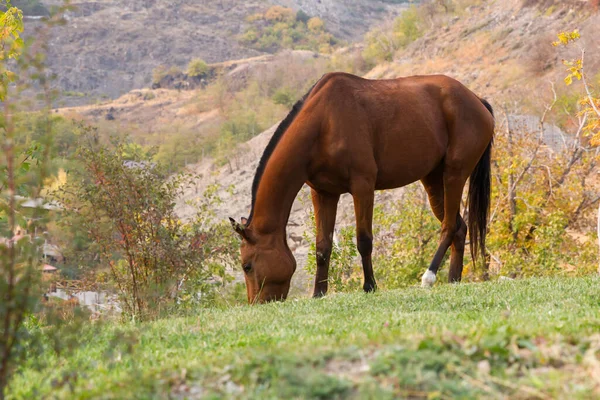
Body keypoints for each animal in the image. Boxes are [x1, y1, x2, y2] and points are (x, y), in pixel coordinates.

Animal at [229, 72, 492, 304]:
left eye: (247, 266)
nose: (256, 303)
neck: (324, 122)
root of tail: (476, 100)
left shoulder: (362, 186)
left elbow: (364, 240)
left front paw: (370, 286)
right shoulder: (324, 194)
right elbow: (322, 246)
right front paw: (318, 293)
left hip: (454, 175)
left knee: (448, 227)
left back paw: (429, 276)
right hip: (433, 182)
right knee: (459, 227)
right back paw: (453, 279)